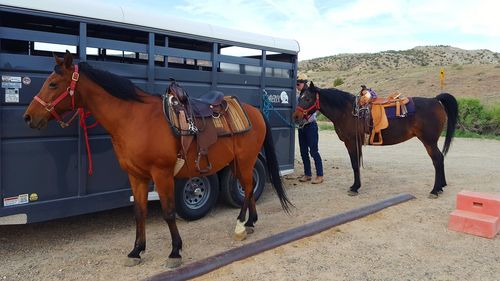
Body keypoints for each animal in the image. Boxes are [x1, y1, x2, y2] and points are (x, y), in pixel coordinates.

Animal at [21, 52, 292, 266]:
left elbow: (168, 212)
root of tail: (255, 110)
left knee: (247, 188)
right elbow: (139, 212)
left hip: (244, 161)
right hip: (236, 162)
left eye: (53, 84)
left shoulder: (162, 174)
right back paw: (249, 222)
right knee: (248, 188)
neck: (134, 119)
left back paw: (242, 225)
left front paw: (175, 251)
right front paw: (136, 251)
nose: (28, 117)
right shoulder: (136, 175)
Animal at [292, 81, 458, 197]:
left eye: (307, 98)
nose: (295, 117)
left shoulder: (351, 143)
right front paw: (356, 186)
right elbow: (356, 165)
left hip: (429, 141)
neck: (348, 111)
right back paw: (441, 186)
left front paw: (354, 188)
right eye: (300, 97)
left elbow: (354, 165)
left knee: (437, 160)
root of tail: (435, 100)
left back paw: (435, 190)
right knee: (440, 158)